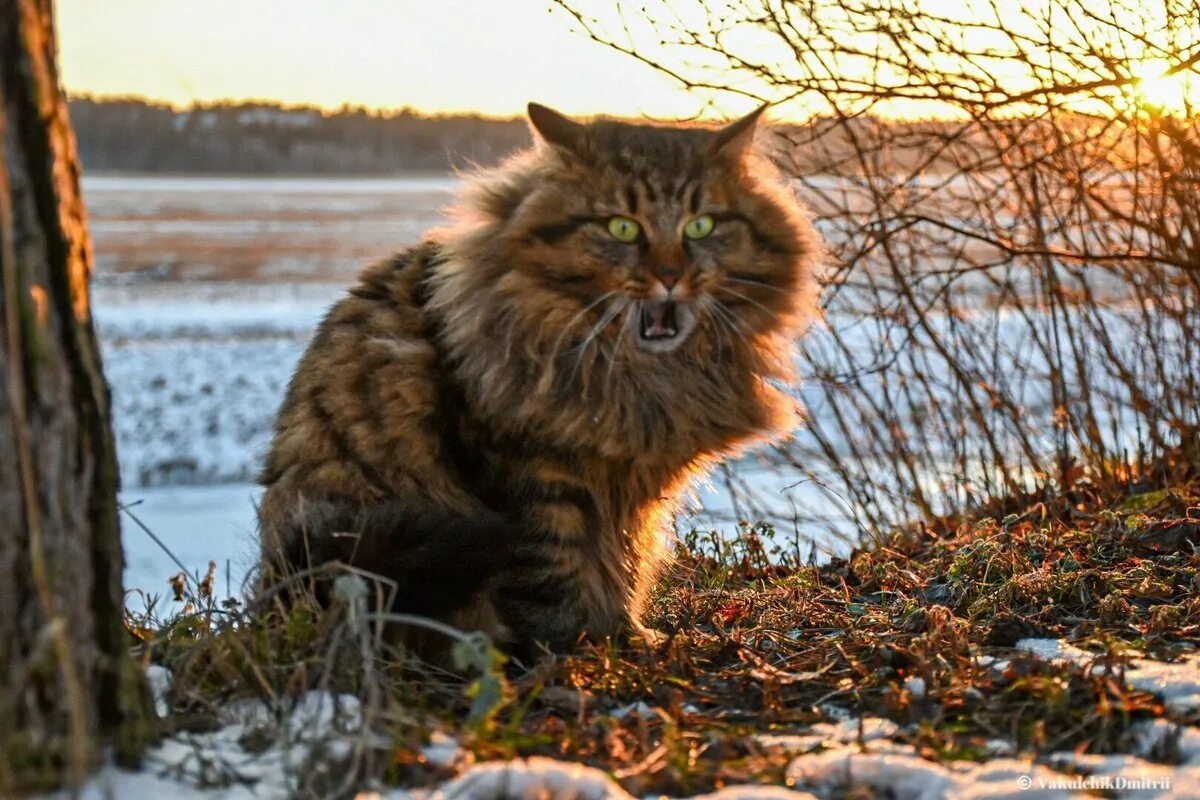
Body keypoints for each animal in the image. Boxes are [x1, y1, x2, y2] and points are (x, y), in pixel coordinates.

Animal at [260, 103, 825, 662]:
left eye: (701, 225)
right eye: (623, 228)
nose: (670, 275)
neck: (636, 375)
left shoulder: (632, 489)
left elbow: (626, 564)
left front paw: (627, 634)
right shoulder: (533, 477)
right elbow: (554, 575)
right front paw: (577, 648)